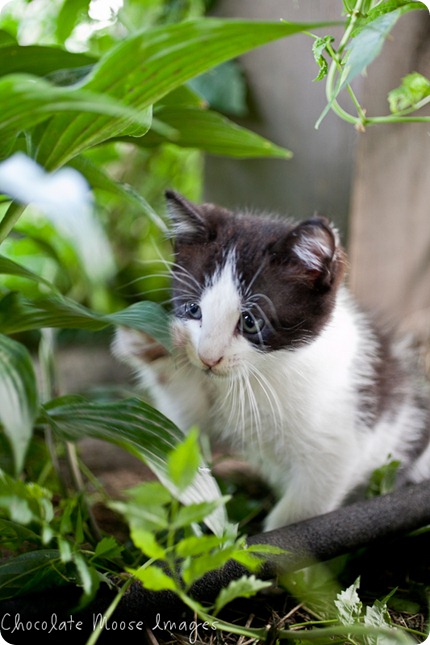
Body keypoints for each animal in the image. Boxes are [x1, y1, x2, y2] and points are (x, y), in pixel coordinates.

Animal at [114, 190, 430, 528]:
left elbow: (301, 511)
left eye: (251, 322)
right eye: (193, 309)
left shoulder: (338, 446)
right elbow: (185, 422)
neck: (268, 370)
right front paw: (149, 340)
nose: (208, 358)